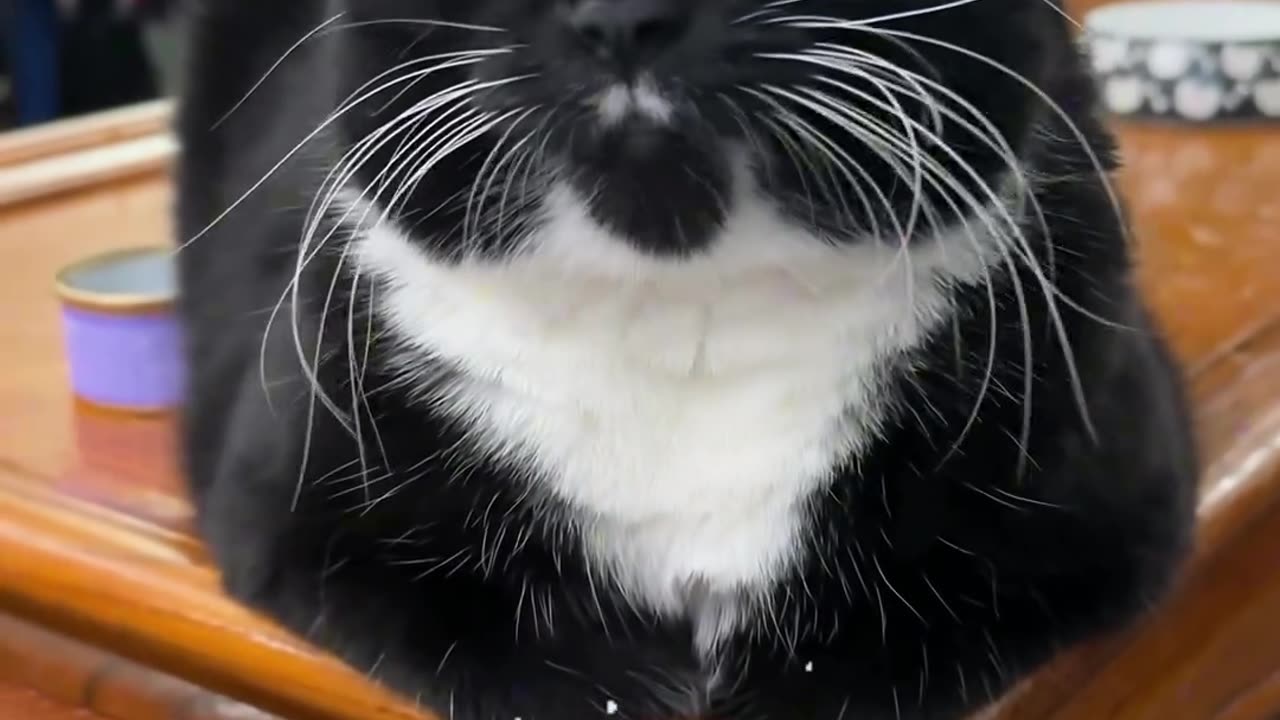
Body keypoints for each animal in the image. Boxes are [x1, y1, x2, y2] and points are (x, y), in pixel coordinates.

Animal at [177, 0, 1198, 712]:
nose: (620, 12)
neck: (683, 305)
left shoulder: (1097, 496)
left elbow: (890, 641)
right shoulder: (295, 503)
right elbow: (470, 624)